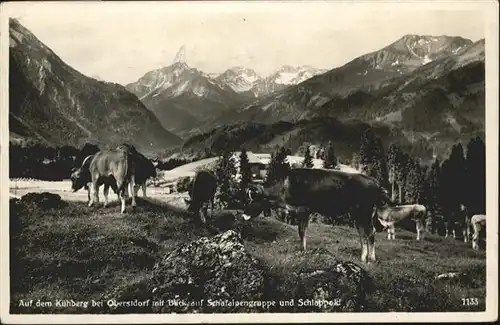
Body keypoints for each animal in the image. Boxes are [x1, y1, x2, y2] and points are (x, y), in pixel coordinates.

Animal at [241, 168, 390, 262]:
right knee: (363, 235)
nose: (243, 215)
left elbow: (301, 231)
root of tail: (375, 182)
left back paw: (371, 258)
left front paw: (302, 250)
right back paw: (363, 258)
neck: (284, 188)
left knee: (370, 233)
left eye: (251, 199)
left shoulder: (303, 209)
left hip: (363, 213)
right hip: (358, 215)